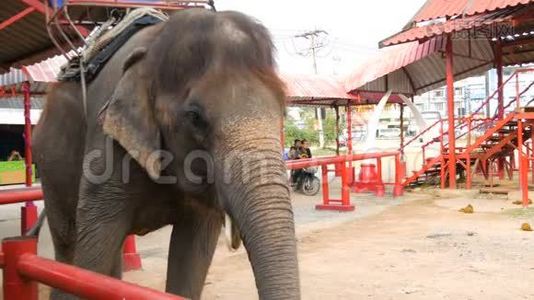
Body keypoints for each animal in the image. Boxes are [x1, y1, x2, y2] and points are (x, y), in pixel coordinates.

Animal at [33, 8, 302, 298]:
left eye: (283, 111)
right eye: (195, 117)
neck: (155, 44)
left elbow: (194, 249)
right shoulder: (106, 143)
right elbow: (94, 248)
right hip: (51, 166)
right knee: (68, 243)